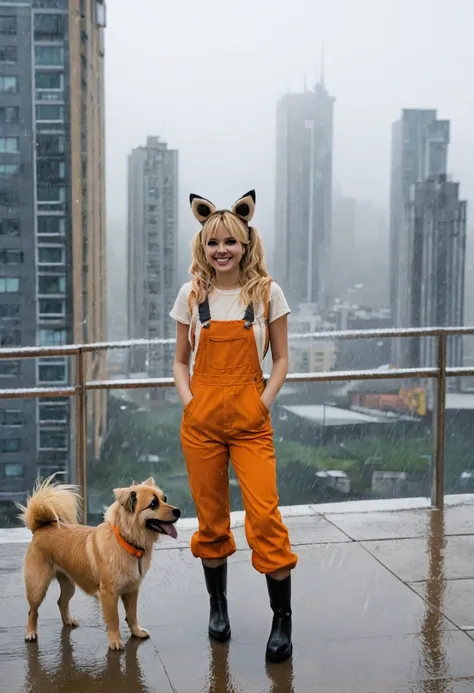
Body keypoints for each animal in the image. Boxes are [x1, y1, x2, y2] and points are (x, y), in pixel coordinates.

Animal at [16, 474, 180, 652]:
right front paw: (115, 641)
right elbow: (114, 619)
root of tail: (40, 528)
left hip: (68, 585)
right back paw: (31, 633)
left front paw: (136, 632)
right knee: (32, 611)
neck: (126, 541)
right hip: (37, 587)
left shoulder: (132, 590)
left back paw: (68, 620)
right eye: (153, 504)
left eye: (165, 499)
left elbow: (132, 614)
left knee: (61, 602)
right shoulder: (109, 594)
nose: (178, 511)